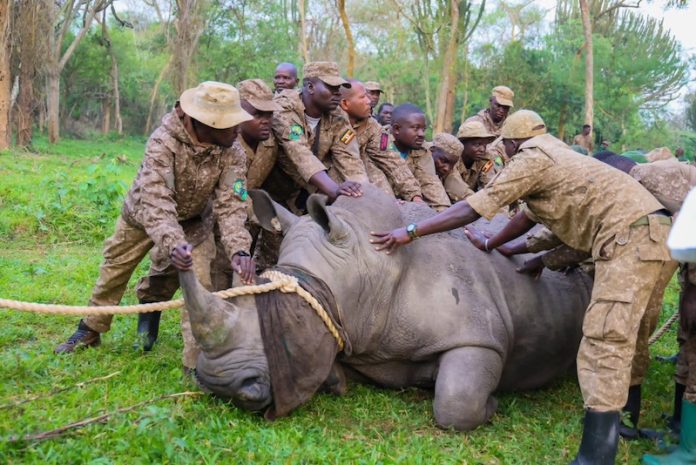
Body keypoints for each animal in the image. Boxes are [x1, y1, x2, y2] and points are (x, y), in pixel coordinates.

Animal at [179, 185, 592, 430]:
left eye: (290, 319)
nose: (220, 386)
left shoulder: (479, 336)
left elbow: (455, 404)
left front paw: (490, 407)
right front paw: (337, 380)